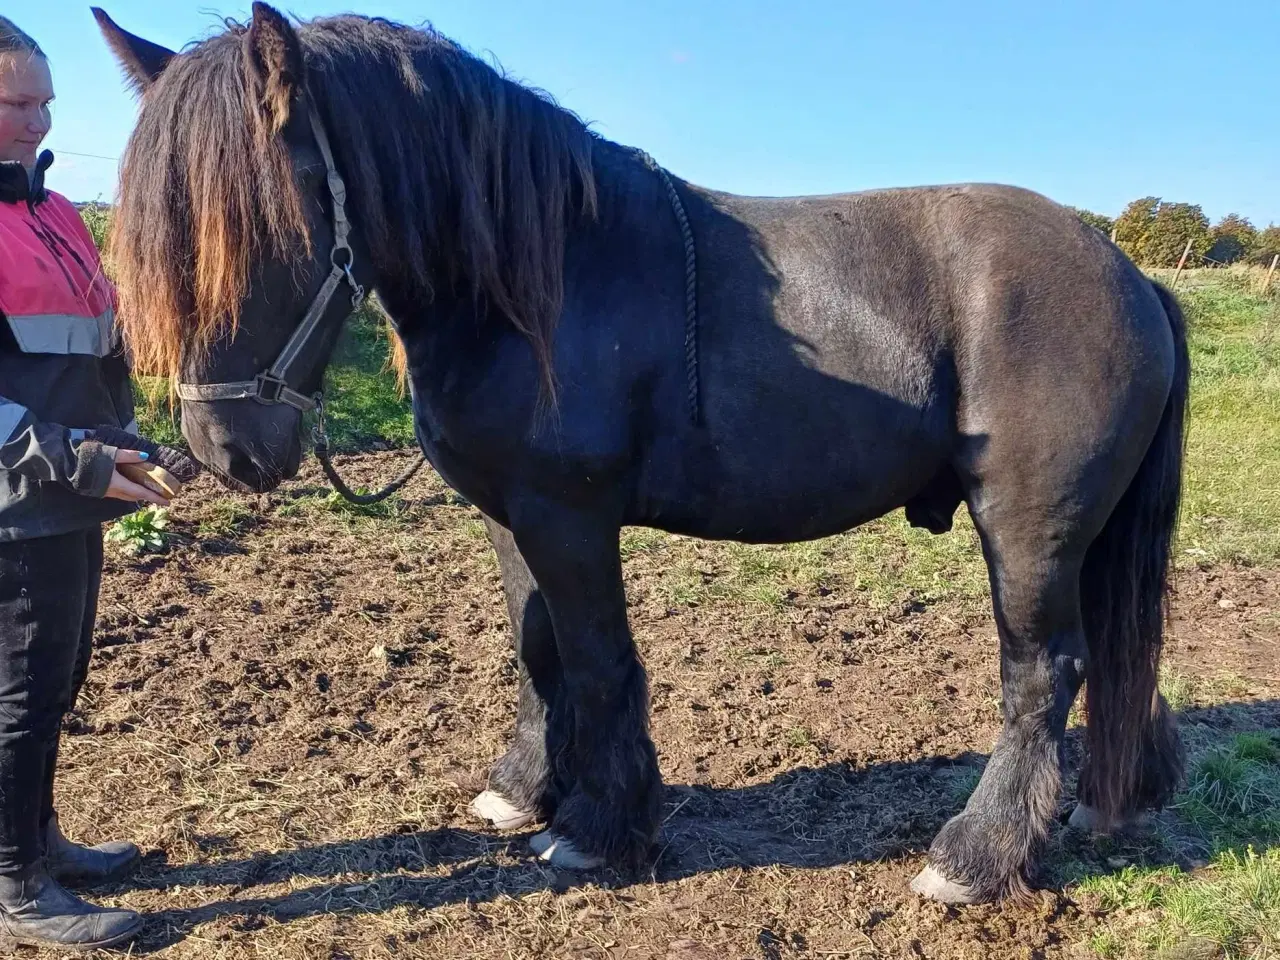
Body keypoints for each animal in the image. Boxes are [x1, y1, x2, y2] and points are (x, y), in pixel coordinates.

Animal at [97, 1, 1187, 901]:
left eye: (267, 220)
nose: (227, 446)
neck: (539, 285)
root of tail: (1129, 276)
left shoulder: (569, 517)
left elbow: (597, 661)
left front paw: (598, 830)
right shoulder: (510, 516)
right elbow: (536, 652)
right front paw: (522, 791)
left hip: (1027, 531)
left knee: (1041, 671)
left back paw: (977, 855)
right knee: (1106, 651)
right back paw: (1104, 799)